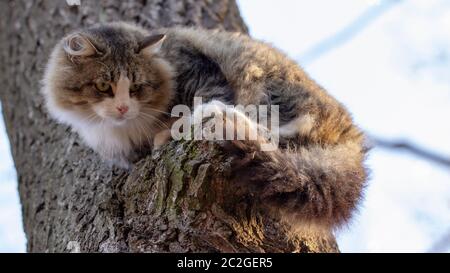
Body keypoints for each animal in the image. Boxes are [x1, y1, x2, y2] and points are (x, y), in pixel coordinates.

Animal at [41, 20, 370, 225]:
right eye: (103, 87)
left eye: (136, 87)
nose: (123, 107)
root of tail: (355, 143)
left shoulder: (198, 70)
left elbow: (203, 99)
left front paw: (173, 129)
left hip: (266, 84)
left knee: (274, 129)